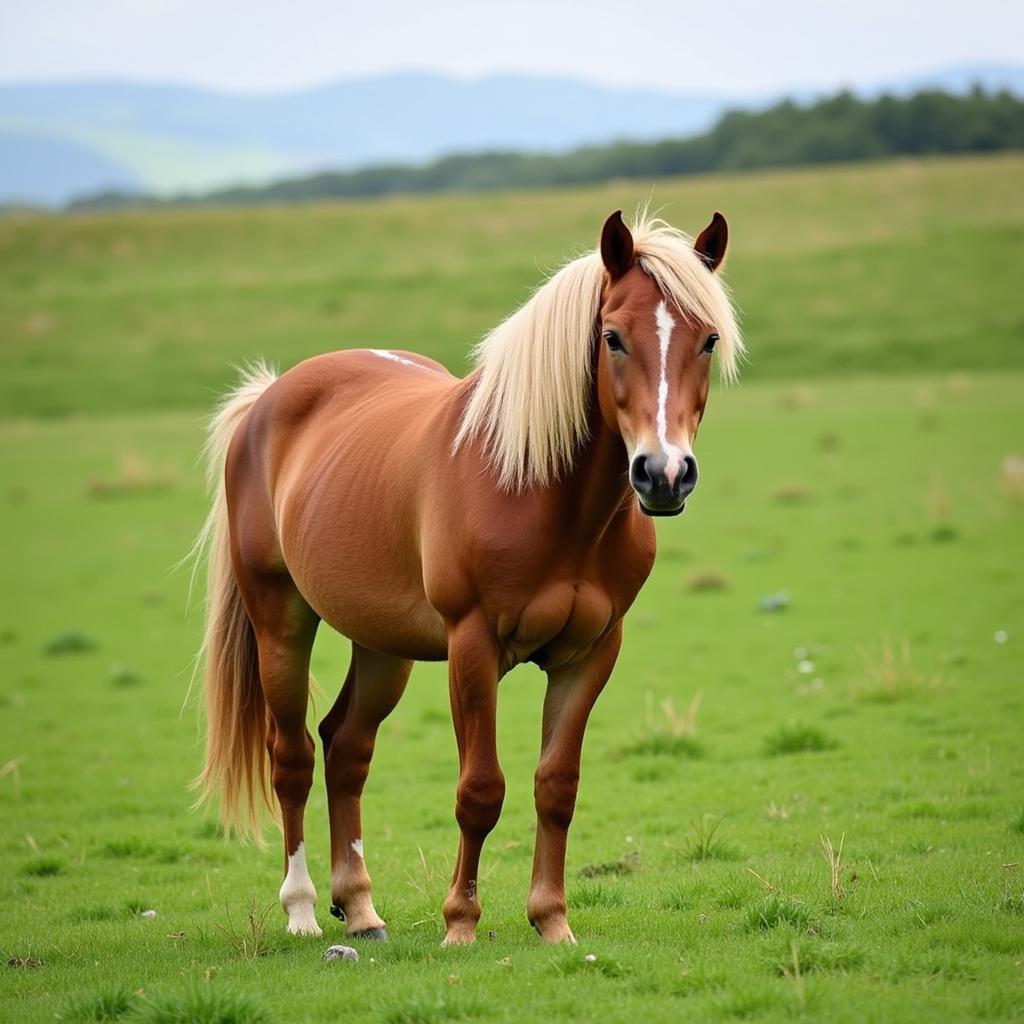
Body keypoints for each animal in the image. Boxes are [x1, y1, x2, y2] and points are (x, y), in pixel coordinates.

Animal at [193, 205, 745, 942]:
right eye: (612, 337)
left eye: (707, 340)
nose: (663, 473)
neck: (544, 493)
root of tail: (266, 398)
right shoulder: (472, 645)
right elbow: (480, 789)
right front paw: (460, 922)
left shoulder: (592, 653)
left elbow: (556, 786)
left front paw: (552, 920)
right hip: (280, 622)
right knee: (293, 759)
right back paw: (304, 910)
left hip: (382, 645)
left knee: (346, 748)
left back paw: (360, 908)